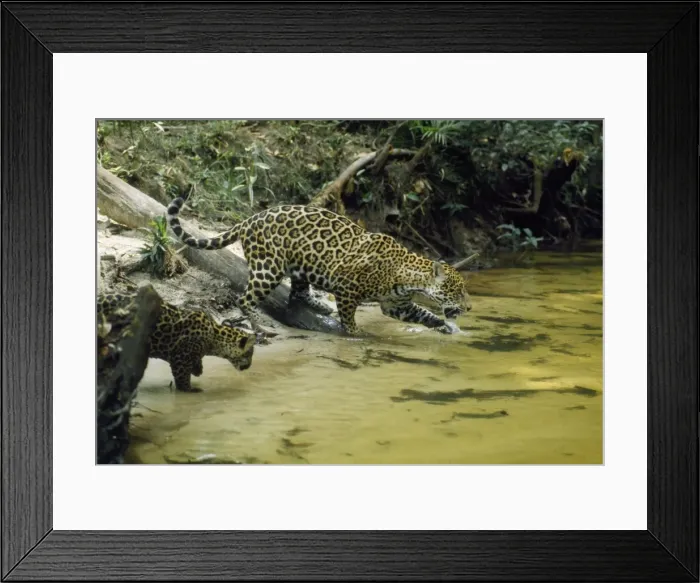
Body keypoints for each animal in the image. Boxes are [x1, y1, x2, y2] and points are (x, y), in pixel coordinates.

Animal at [98, 292, 256, 392]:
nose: (249, 366)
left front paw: (198, 369)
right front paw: (188, 389)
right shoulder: (180, 356)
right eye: (249, 354)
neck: (214, 337)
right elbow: (182, 376)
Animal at [167, 195, 472, 337]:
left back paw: (318, 304)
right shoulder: (348, 289)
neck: (408, 276)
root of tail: (250, 219)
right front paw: (355, 334)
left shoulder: (397, 305)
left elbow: (424, 314)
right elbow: (348, 317)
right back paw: (259, 327)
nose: (470, 308)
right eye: (457, 291)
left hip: (300, 264)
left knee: (297, 292)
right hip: (268, 268)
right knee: (245, 298)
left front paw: (446, 327)